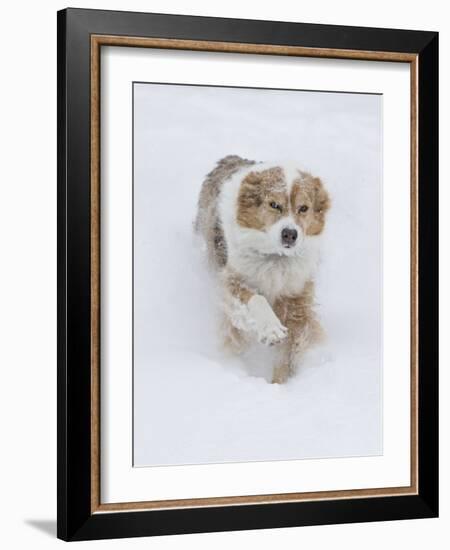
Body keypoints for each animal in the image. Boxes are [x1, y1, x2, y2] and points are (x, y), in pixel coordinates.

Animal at [194, 155, 330, 384]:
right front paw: (271, 330)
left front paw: (279, 384)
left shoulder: (297, 297)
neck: (275, 258)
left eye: (304, 208)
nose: (290, 234)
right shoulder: (231, 280)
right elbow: (255, 299)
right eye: (274, 204)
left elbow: (288, 351)